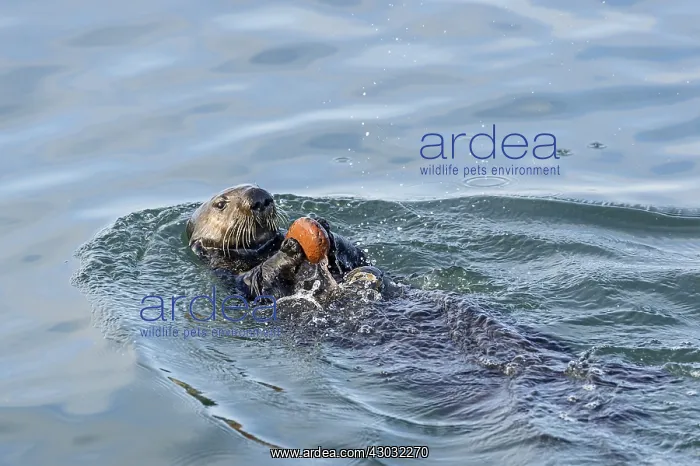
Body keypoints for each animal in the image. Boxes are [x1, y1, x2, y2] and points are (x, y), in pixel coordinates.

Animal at [186, 184, 382, 299]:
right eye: (220, 204)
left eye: (257, 185)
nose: (259, 198)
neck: (260, 251)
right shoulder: (229, 275)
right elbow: (258, 281)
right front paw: (289, 249)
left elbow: (357, 256)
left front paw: (323, 225)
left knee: (368, 269)